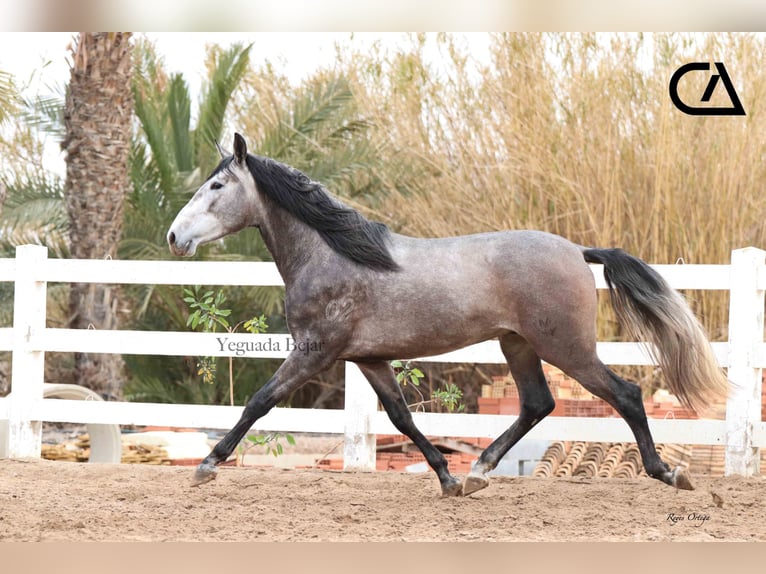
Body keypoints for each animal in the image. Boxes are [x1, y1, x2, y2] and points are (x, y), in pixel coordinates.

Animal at [165, 133, 728, 498]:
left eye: (217, 188)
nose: (174, 237)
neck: (332, 255)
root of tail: (578, 250)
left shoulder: (314, 353)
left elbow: (259, 402)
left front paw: (207, 465)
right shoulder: (370, 360)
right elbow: (402, 418)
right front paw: (448, 478)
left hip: (565, 347)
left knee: (625, 395)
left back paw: (669, 473)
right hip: (517, 344)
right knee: (538, 404)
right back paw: (478, 471)